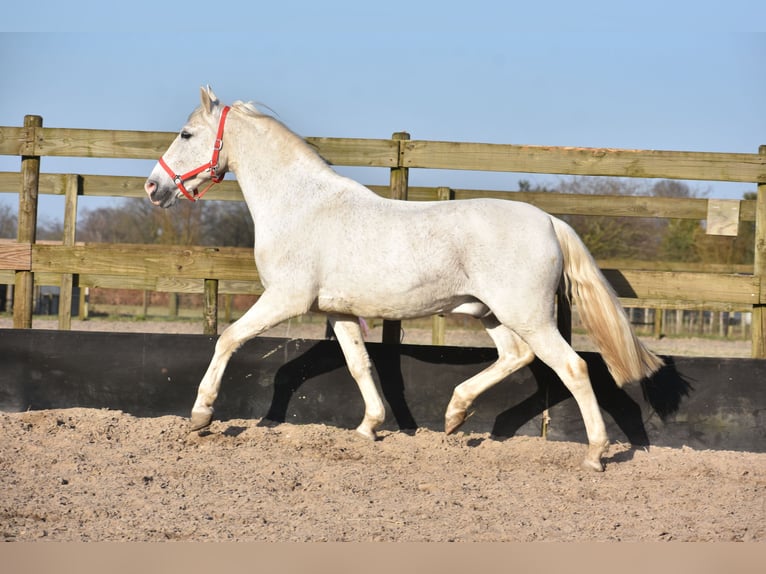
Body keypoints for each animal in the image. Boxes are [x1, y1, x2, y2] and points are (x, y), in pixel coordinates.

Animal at [147, 86, 664, 472]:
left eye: (186, 133)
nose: (154, 186)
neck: (301, 205)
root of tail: (550, 221)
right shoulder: (337, 311)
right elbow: (360, 365)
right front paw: (369, 427)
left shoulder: (286, 298)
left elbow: (229, 339)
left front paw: (201, 416)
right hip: (493, 313)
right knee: (516, 357)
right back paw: (455, 416)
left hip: (527, 315)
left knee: (572, 368)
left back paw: (594, 454)